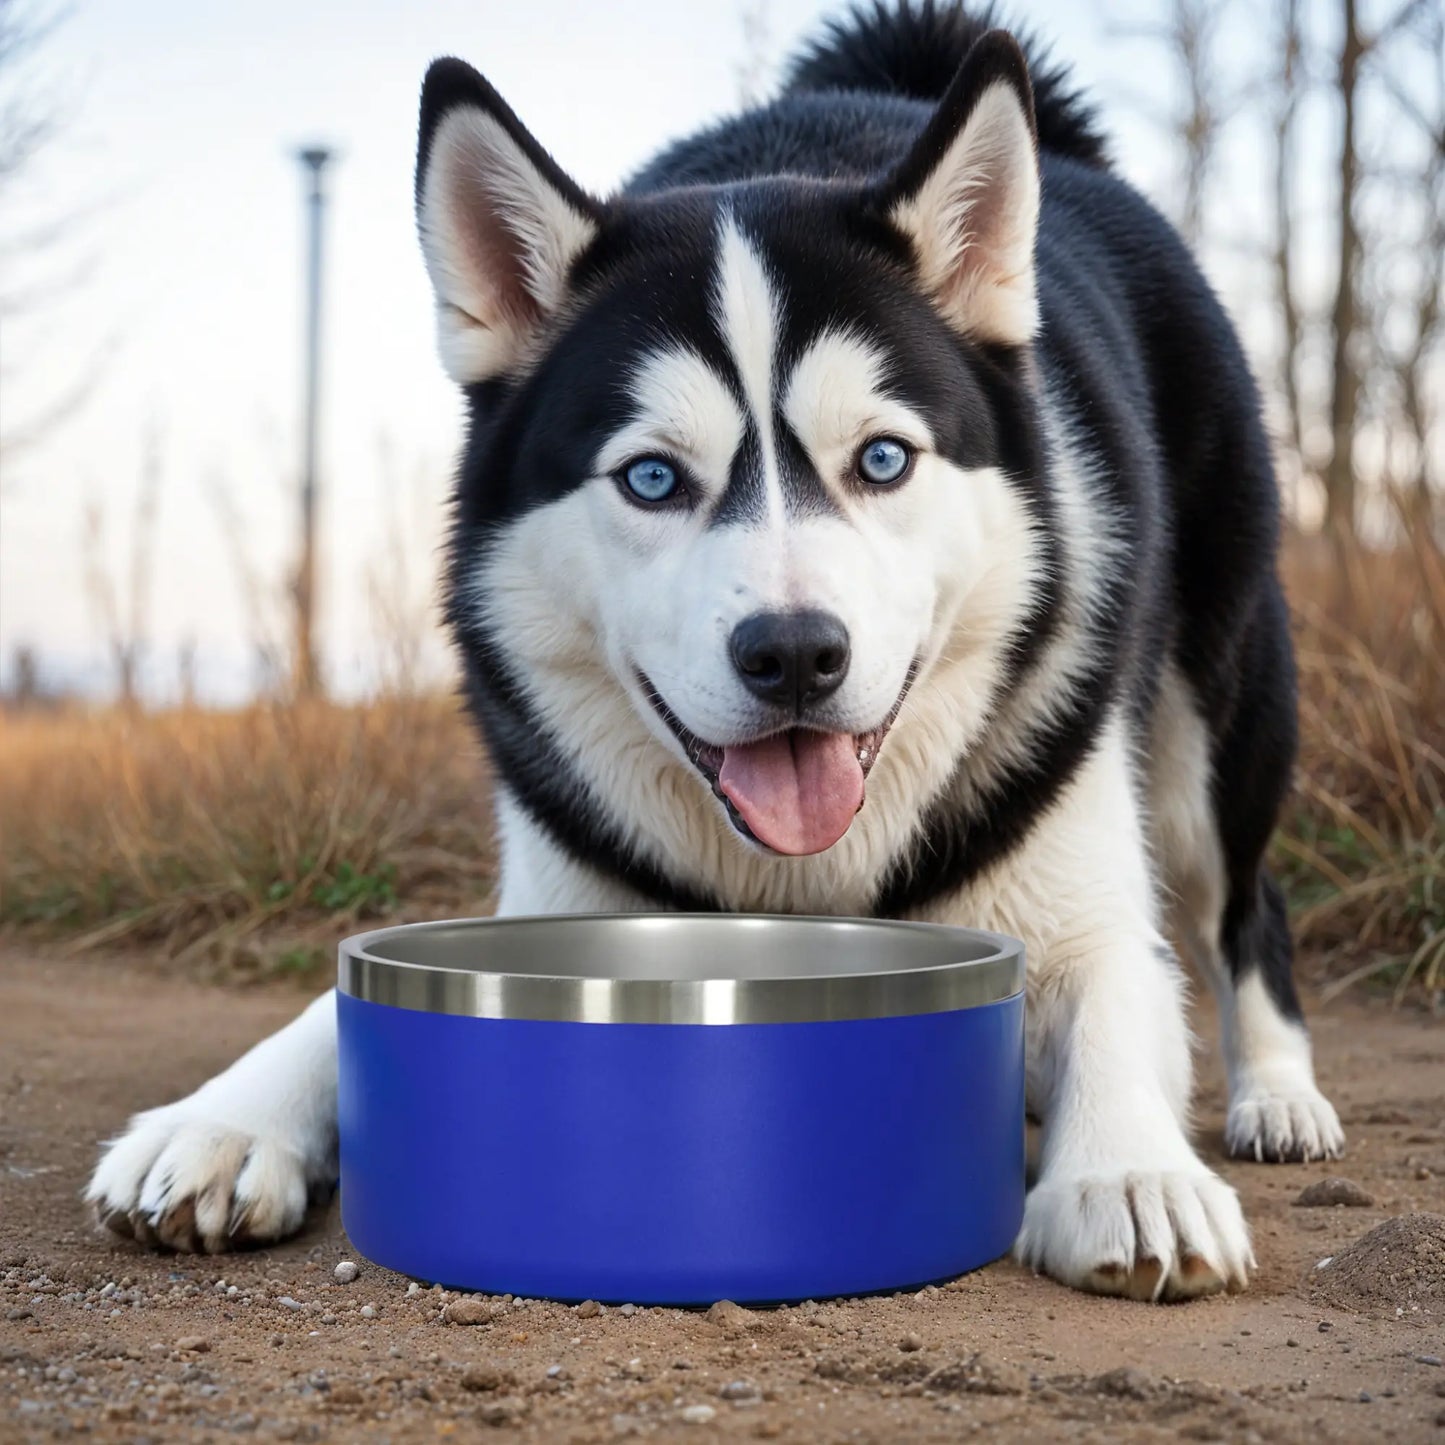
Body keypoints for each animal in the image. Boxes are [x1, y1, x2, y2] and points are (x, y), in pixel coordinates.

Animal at [87, 0, 1340, 1306]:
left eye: (880, 458)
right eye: (651, 477)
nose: (793, 653)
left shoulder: (1082, 899)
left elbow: (1113, 987)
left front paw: (1127, 1170)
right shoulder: (559, 892)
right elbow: (335, 1008)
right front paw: (223, 1118)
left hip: (1218, 706)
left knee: (1243, 900)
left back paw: (1278, 1094)